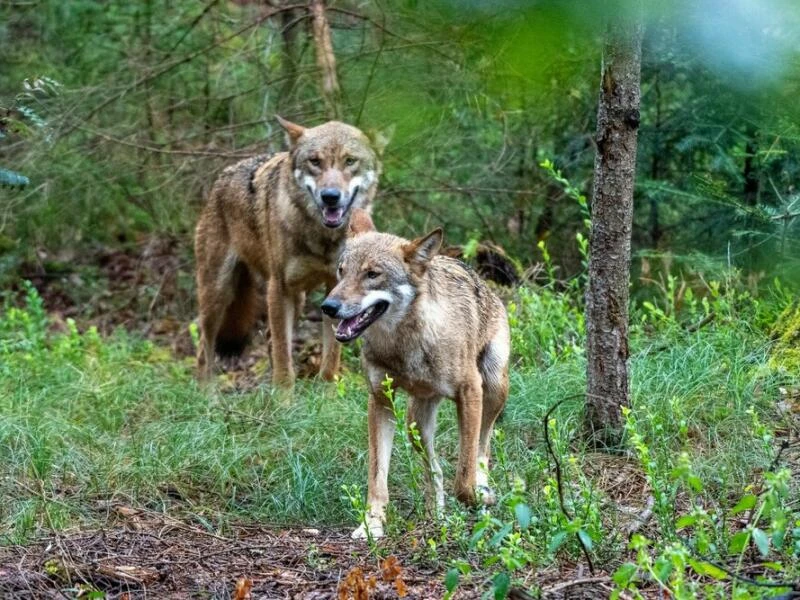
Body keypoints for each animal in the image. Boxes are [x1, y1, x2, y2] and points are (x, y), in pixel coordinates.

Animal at [198, 118, 390, 390]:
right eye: (315, 161)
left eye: (350, 161)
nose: (330, 197)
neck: (323, 238)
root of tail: (220, 180)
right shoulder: (279, 288)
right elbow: (283, 355)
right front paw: (283, 397)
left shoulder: (336, 290)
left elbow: (331, 356)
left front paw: (326, 393)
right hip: (217, 295)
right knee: (204, 348)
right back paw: (206, 394)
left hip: (296, 298)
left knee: (268, 336)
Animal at [322, 211, 510, 540]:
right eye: (341, 271)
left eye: (372, 274)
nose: (328, 307)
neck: (404, 344)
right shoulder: (379, 400)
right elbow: (377, 476)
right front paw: (372, 524)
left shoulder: (470, 391)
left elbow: (464, 477)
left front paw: (480, 495)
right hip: (415, 424)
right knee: (434, 469)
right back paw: (438, 517)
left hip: (495, 387)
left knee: (483, 448)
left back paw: (483, 490)